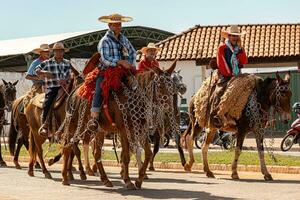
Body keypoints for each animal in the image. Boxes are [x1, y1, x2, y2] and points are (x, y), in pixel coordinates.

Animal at [59, 61, 179, 189]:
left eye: (172, 87)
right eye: (160, 86)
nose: (169, 108)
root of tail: (75, 92)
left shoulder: (140, 131)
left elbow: (147, 153)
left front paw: (139, 179)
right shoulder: (124, 131)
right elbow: (126, 156)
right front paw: (128, 180)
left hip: (99, 131)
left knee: (95, 153)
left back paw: (105, 179)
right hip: (75, 125)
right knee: (67, 147)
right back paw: (65, 177)